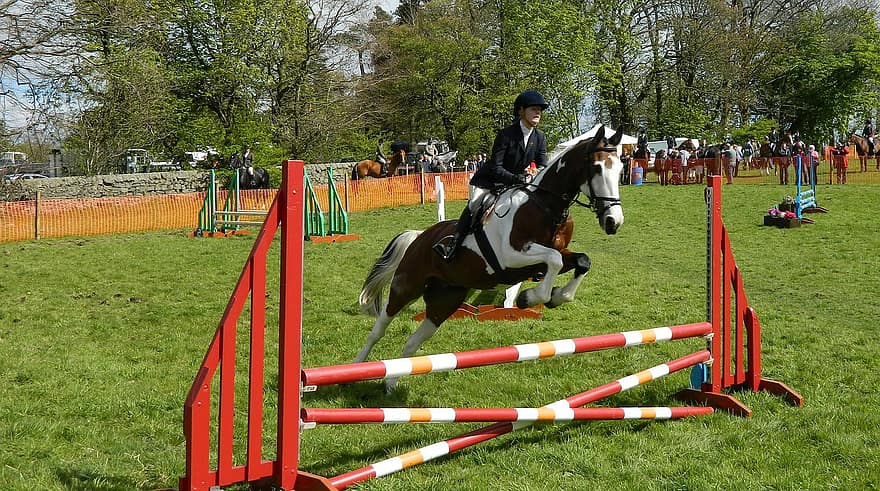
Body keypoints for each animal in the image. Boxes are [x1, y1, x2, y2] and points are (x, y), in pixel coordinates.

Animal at [350, 126, 624, 392]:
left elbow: (581, 261)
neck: (545, 206)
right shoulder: (511, 256)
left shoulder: (548, 257)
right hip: (406, 287)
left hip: (445, 300)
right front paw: (530, 298)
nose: (613, 222)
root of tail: (419, 237)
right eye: (597, 168)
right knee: (378, 329)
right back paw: (355, 369)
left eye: (621, 168)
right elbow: (554, 259)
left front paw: (553, 297)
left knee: (413, 341)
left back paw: (390, 384)